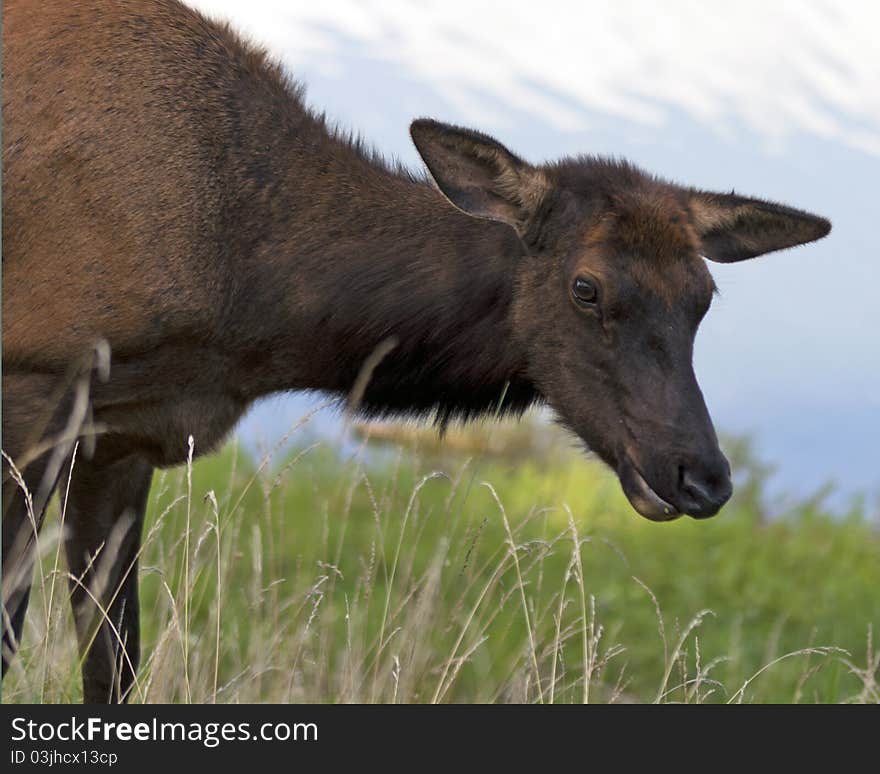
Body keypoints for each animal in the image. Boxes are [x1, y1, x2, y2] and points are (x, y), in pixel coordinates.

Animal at [1, 0, 832, 704]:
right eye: (586, 288)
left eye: (703, 299)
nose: (703, 475)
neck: (250, 312)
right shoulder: (36, 383)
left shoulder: (126, 435)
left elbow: (114, 662)